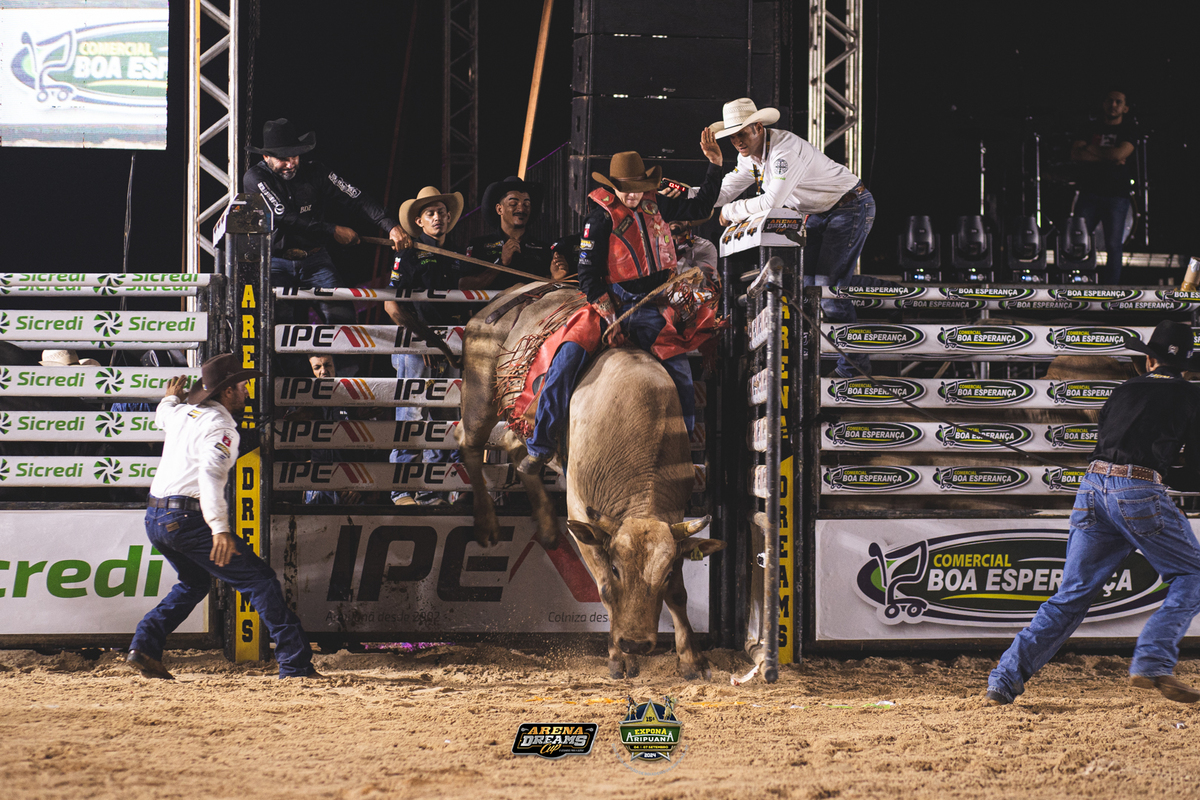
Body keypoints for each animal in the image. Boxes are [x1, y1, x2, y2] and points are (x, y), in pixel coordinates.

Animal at [456, 285, 726, 679]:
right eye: (616, 567)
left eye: (664, 573)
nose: (636, 644)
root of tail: (514, 293)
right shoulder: (582, 514)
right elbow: (603, 588)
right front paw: (617, 658)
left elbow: (678, 594)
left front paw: (692, 659)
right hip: (479, 396)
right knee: (469, 443)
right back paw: (488, 524)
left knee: (519, 452)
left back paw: (547, 525)